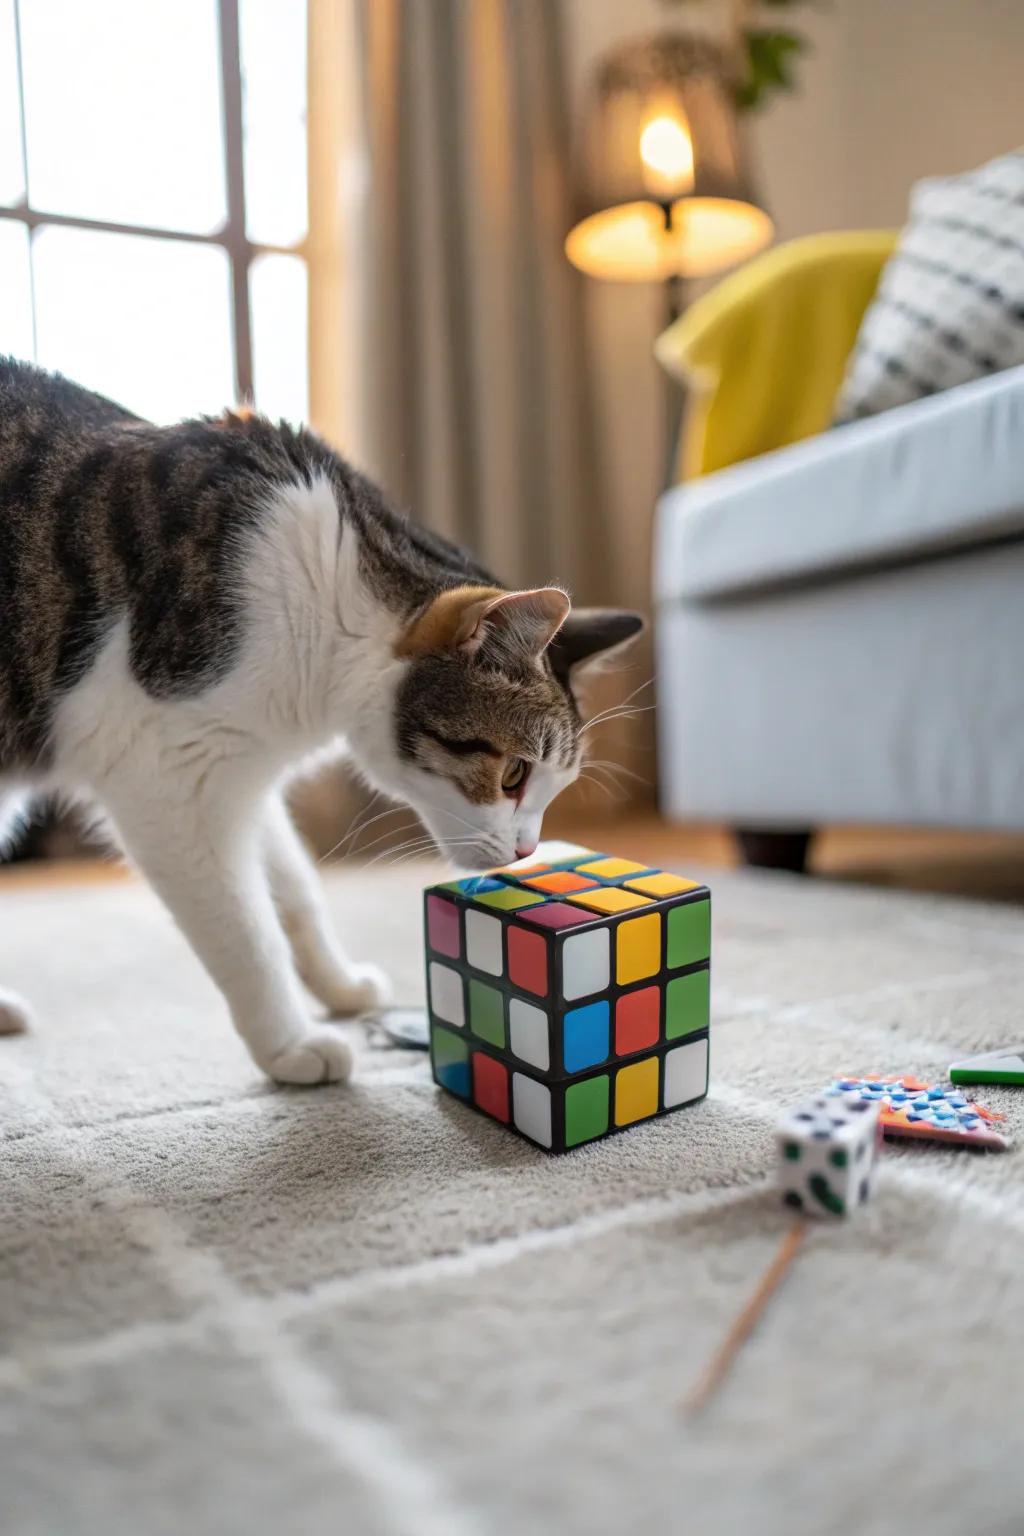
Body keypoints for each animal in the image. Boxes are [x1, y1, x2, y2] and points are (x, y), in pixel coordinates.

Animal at [0, 354, 641, 1087]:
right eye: (511, 775)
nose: (528, 852)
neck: (324, 599)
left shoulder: (238, 764)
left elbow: (294, 888)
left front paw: (337, 986)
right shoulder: (165, 780)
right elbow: (244, 928)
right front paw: (288, 1045)